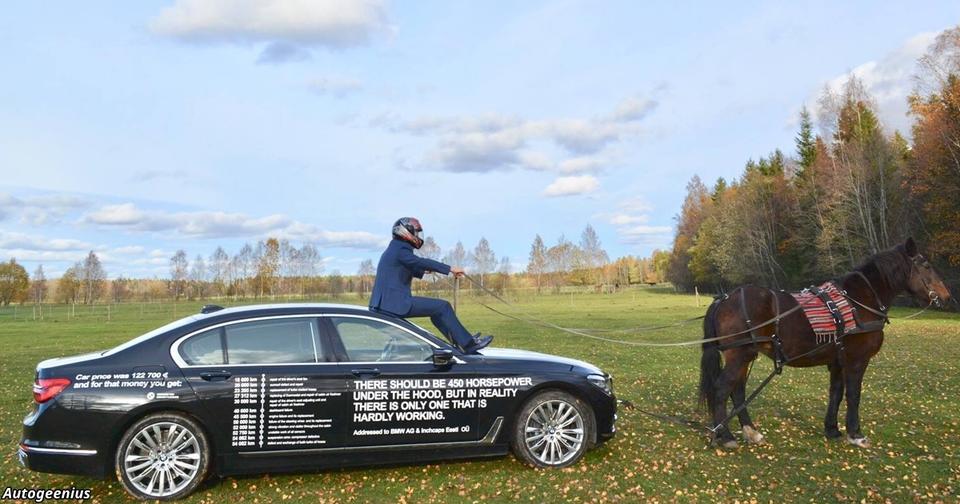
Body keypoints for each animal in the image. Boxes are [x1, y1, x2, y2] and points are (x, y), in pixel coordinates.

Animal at [696, 237, 952, 448]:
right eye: (926, 266)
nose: (947, 297)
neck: (857, 302)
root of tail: (724, 298)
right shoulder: (857, 361)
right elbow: (854, 395)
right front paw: (855, 434)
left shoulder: (838, 361)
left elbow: (836, 393)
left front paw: (832, 430)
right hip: (739, 354)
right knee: (722, 389)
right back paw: (725, 436)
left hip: (745, 355)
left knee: (737, 391)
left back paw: (751, 433)